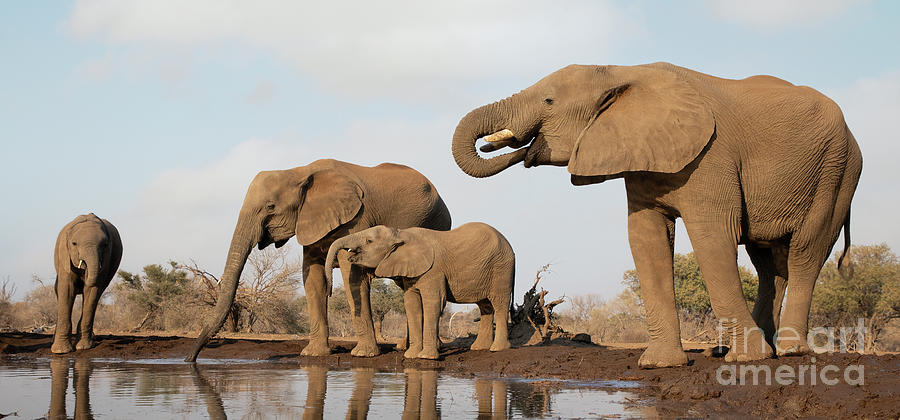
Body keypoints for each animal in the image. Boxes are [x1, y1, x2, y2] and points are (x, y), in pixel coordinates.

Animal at [51, 213, 122, 354]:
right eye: (74, 243)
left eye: (104, 245)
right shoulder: (64, 257)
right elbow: (66, 289)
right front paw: (61, 351)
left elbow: (92, 291)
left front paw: (83, 347)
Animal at [185, 159, 450, 362]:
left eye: (270, 207)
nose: (190, 359)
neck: (299, 171)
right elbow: (311, 278)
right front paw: (313, 354)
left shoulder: (356, 218)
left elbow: (352, 274)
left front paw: (363, 355)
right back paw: (405, 348)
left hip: (437, 224)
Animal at [326, 225, 516, 360]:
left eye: (369, 241)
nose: (330, 291)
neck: (401, 234)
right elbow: (411, 304)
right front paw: (411, 356)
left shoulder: (434, 270)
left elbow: (433, 302)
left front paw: (426, 357)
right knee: (485, 306)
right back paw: (479, 348)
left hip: (501, 269)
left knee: (499, 303)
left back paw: (497, 349)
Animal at [454, 62, 860, 368]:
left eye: (549, 101)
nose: (523, 151)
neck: (620, 72)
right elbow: (645, 238)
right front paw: (659, 364)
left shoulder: (710, 156)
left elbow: (713, 238)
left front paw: (747, 361)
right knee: (768, 263)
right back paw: (750, 349)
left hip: (837, 172)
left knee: (807, 250)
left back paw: (788, 351)